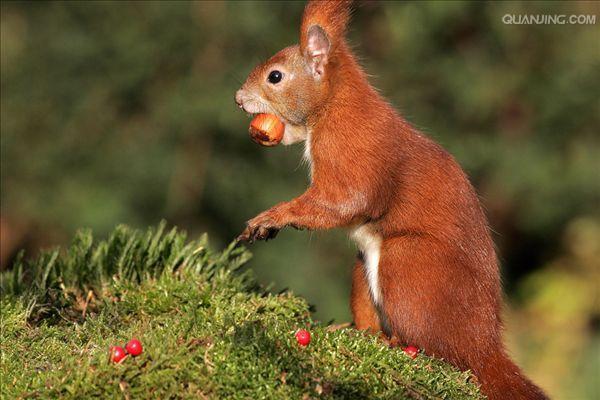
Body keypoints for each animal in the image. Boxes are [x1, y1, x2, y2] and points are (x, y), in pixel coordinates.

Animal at [234, 1, 548, 398]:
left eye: (275, 77)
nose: (238, 99)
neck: (335, 104)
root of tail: (483, 344)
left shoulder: (351, 147)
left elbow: (346, 200)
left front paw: (272, 216)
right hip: (364, 272)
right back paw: (358, 333)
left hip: (408, 265)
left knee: (435, 348)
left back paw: (399, 345)